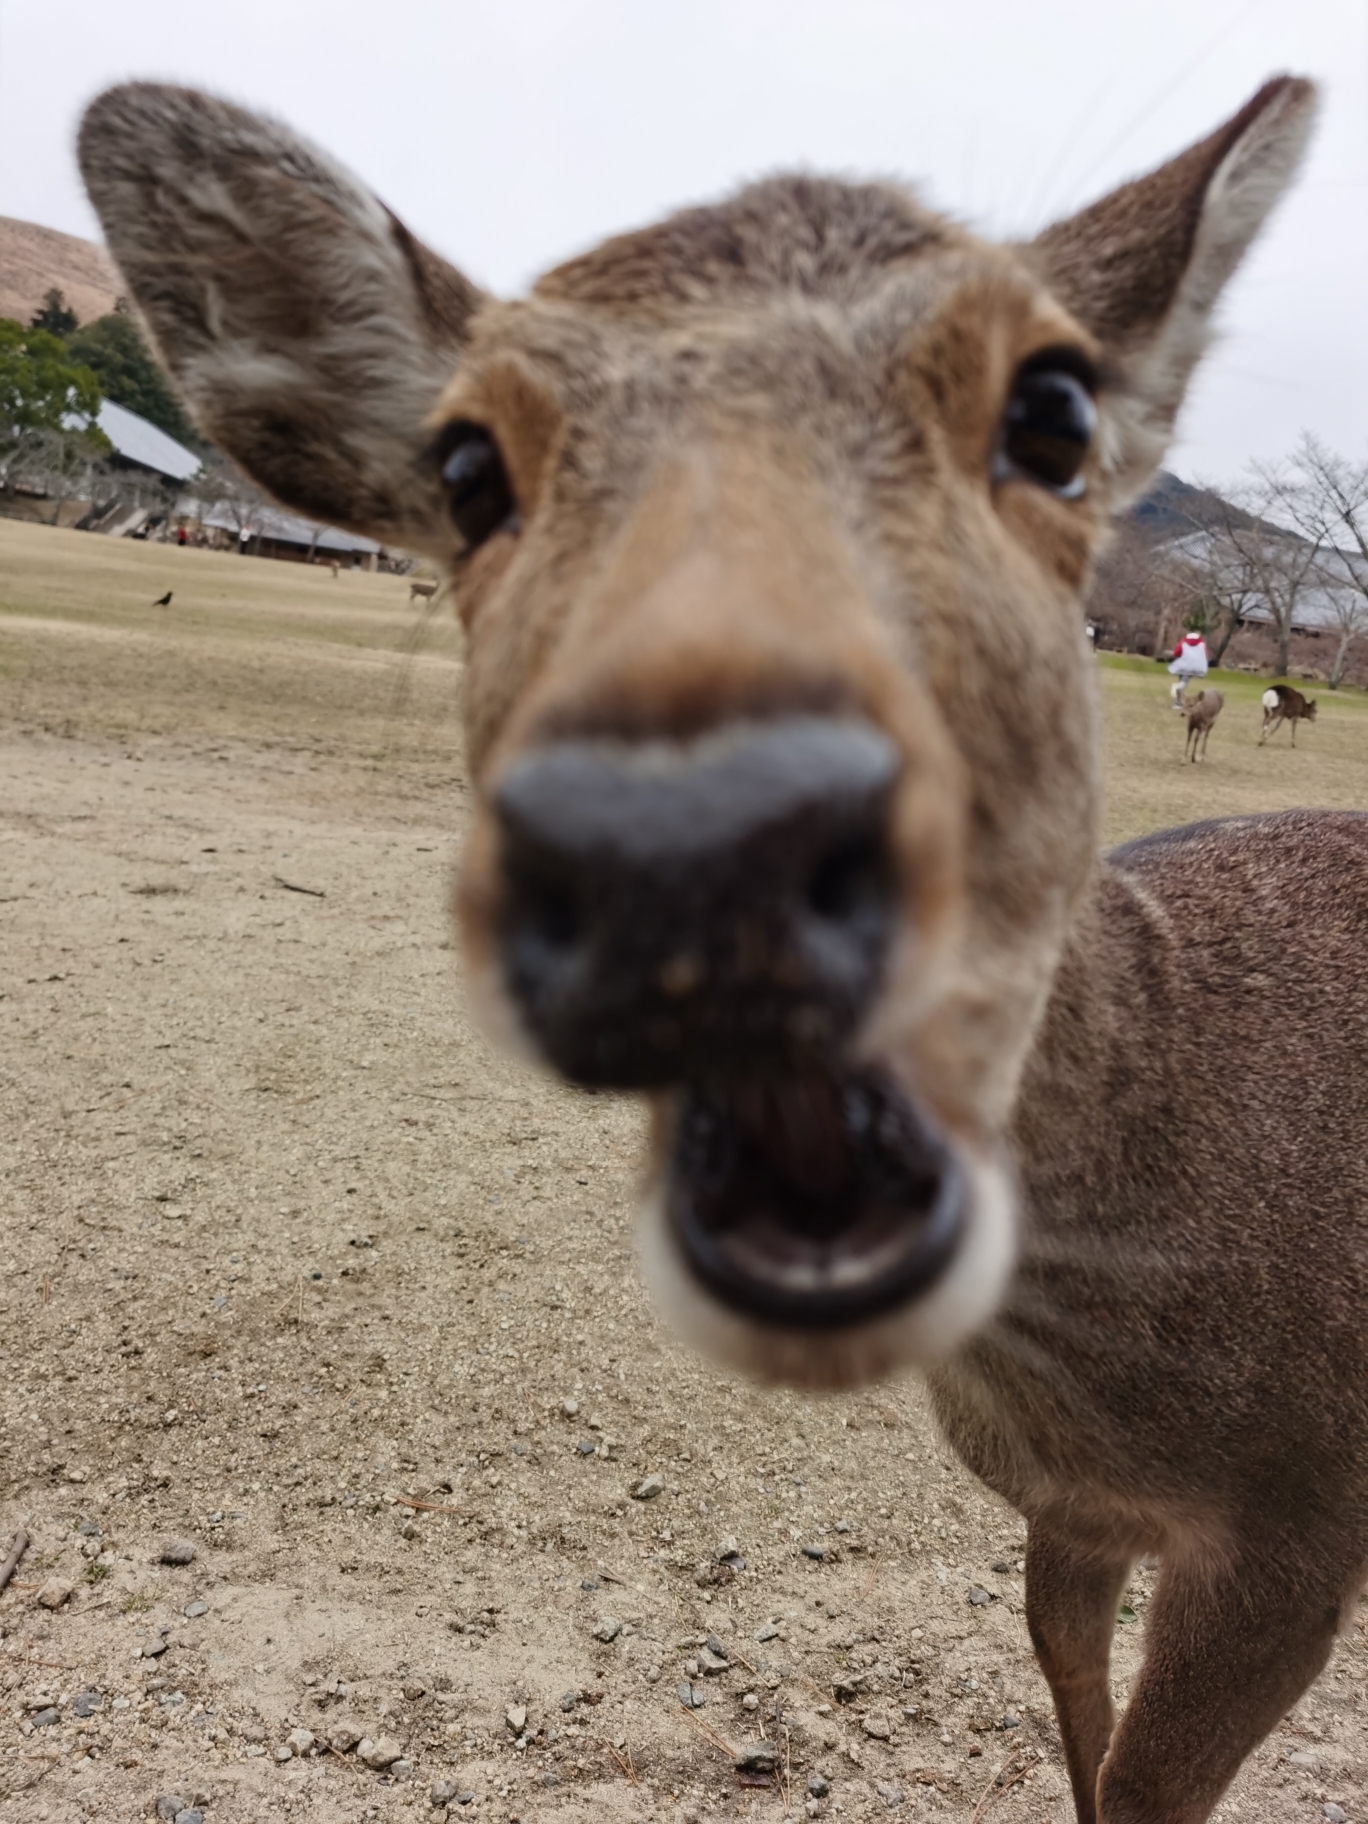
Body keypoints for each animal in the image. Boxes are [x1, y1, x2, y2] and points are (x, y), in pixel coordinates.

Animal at [77, 74, 1368, 1824]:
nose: (689, 844)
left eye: (1054, 409)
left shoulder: (1302, 1528)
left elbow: (1148, 1782)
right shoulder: (1069, 1514)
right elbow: (1081, 1735)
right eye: (466, 467)